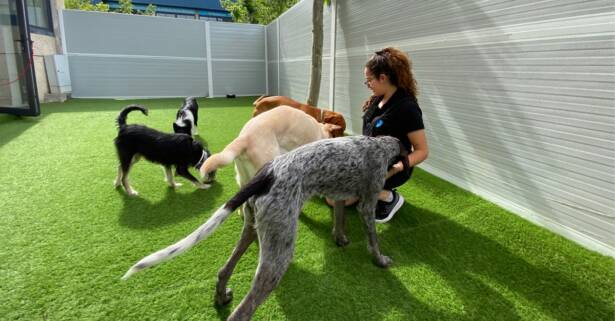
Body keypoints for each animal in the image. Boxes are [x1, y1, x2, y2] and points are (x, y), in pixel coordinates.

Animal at [122, 135, 406, 320]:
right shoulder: (367, 204)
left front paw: (340, 237)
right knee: (241, 313)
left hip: (254, 228)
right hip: (279, 252)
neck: (380, 144)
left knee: (223, 270)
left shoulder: (338, 195)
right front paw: (380, 260)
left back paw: (221, 297)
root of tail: (267, 173)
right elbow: (373, 239)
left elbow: (338, 217)